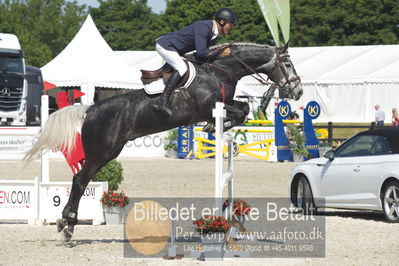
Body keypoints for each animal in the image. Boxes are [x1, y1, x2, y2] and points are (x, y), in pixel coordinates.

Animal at [24, 42, 304, 243]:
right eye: (287, 63)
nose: (298, 91)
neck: (221, 71)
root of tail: (90, 109)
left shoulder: (224, 104)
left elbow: (244, 109)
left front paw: (216, 127)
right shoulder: (207, 107)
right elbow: (239, 112)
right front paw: (213, 126)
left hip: (111, 151)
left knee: (80, 180)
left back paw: (65, 224)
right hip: (100, 153)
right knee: (80, 181)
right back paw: (67, 227)